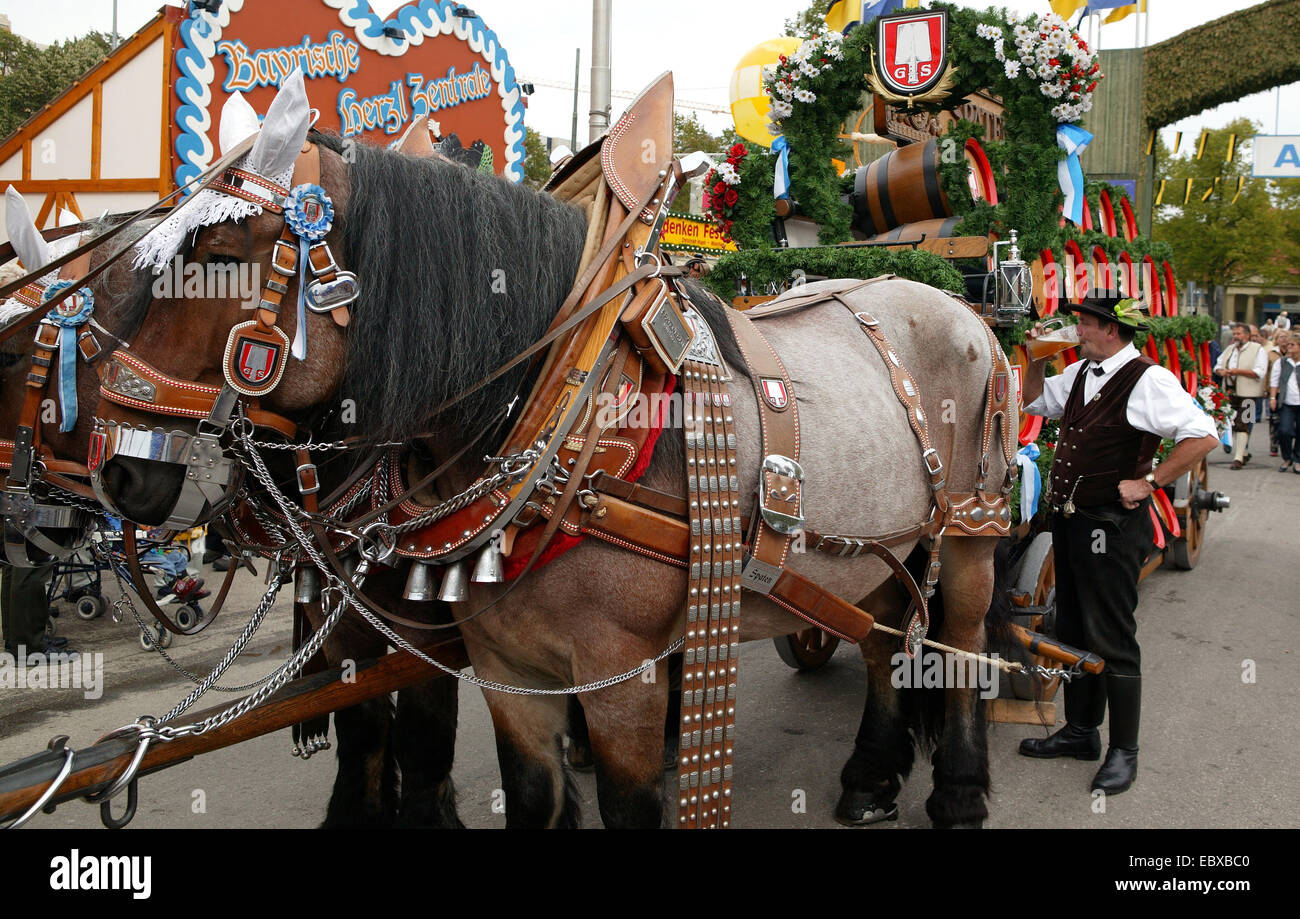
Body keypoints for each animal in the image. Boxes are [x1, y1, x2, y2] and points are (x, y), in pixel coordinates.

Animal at [98, 82, 1013, 831]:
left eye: (221, 258)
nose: (121, 469)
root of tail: (958, 306)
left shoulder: (621, 676)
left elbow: (624, 803)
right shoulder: (508, 669)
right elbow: (527, 793)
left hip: (971, 529)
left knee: (962, 641)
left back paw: (960, 790)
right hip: (875, 553)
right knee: (885, 641)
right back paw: (870, 777)